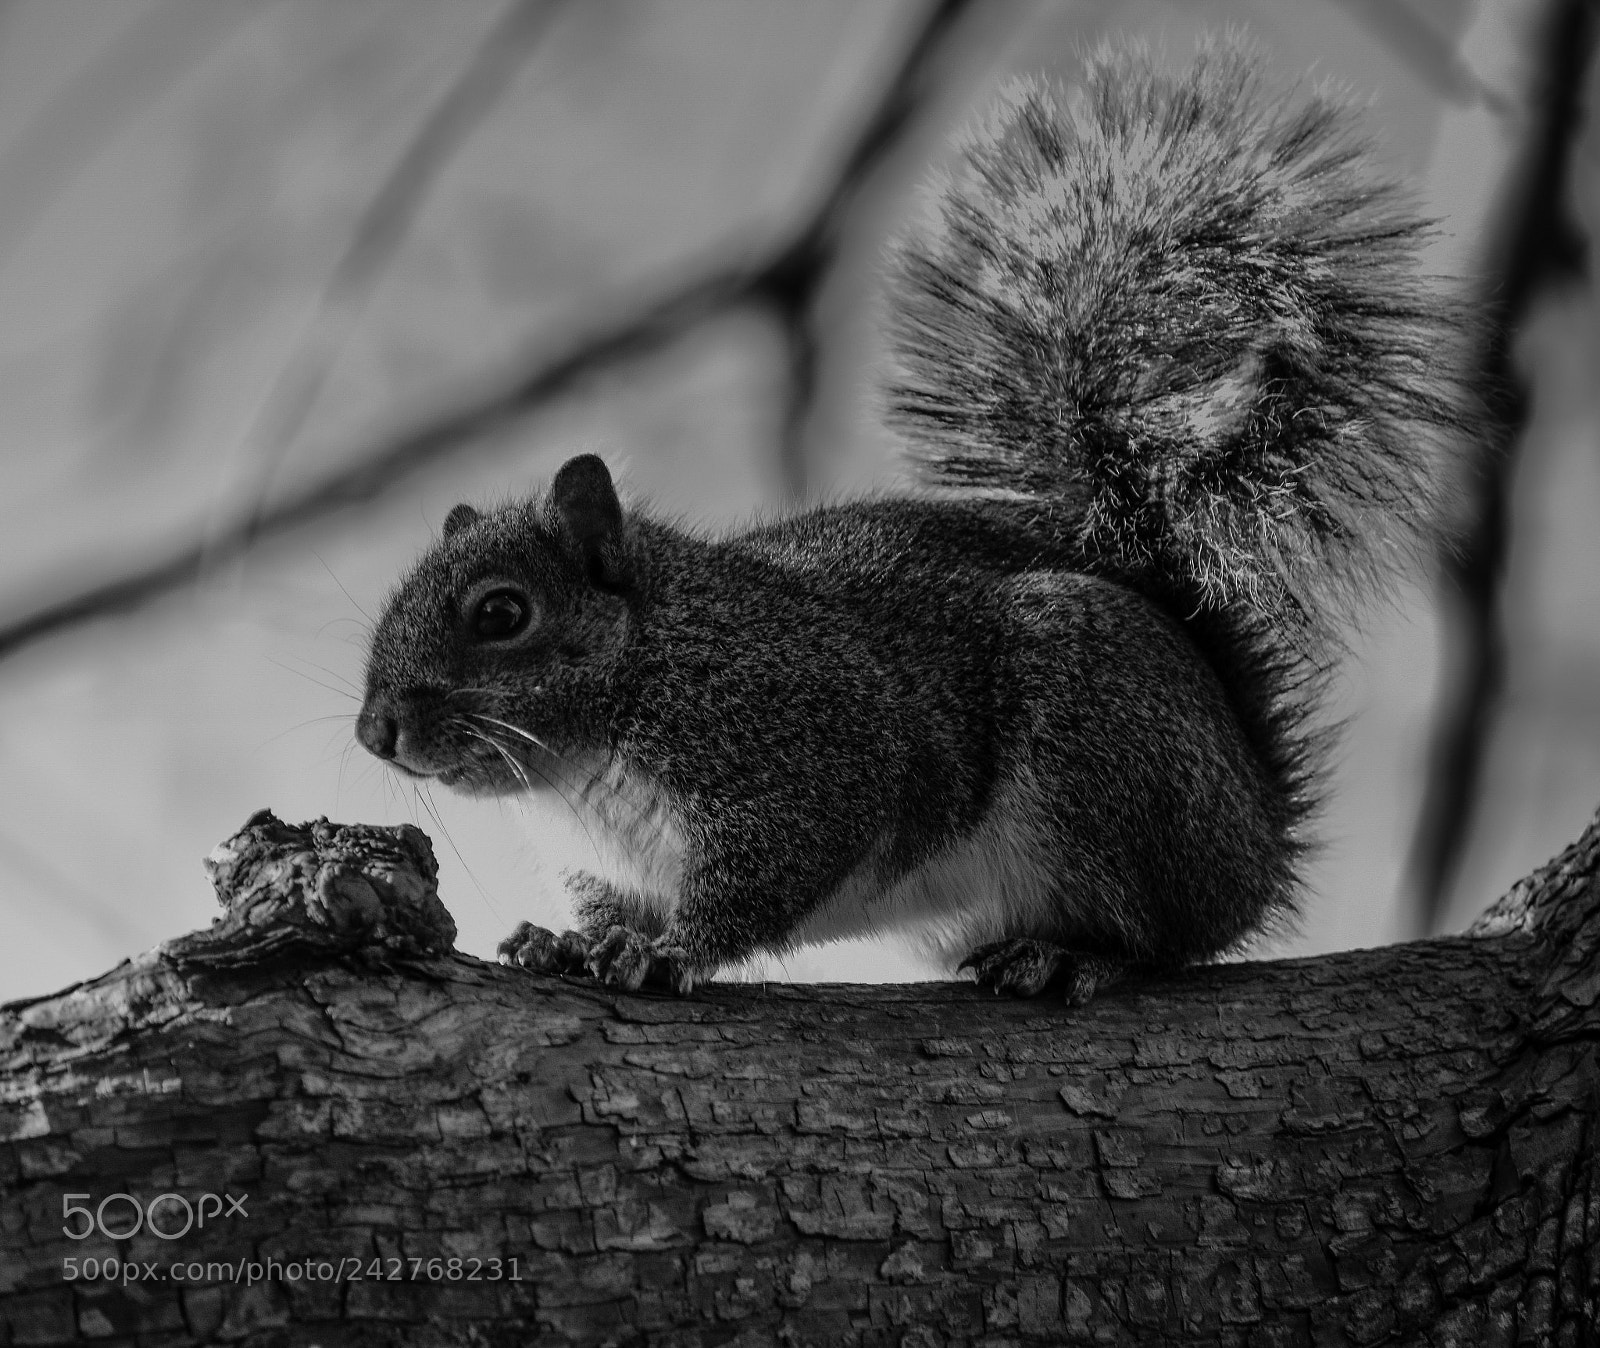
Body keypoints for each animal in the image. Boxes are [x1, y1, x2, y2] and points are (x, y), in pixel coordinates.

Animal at [355, 40, 1469, 1003]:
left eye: (503, 613)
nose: (375, 732)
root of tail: (1261, 830)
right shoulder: (604, 857)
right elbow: (604, 905)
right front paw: (572, 940)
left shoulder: (808, 758)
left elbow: (759, 884)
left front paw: (668, 951)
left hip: (1106, 737)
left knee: (1169, 937)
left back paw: (1078, 958)